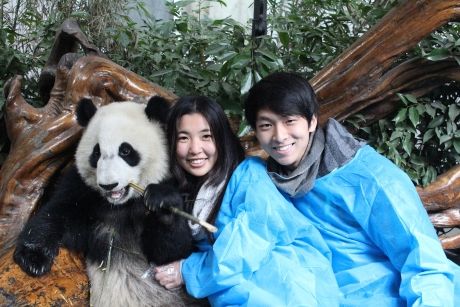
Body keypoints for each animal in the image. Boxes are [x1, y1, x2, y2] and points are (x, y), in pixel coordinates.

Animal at [13, 98, 201, 307]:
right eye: (96, 153)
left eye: (126, 150)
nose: (108, 185)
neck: (121, 204)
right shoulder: (82, 189)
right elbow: (57, 214)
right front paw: (33, 258)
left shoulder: (177, 183)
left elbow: (172, 253)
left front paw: (162, 202)